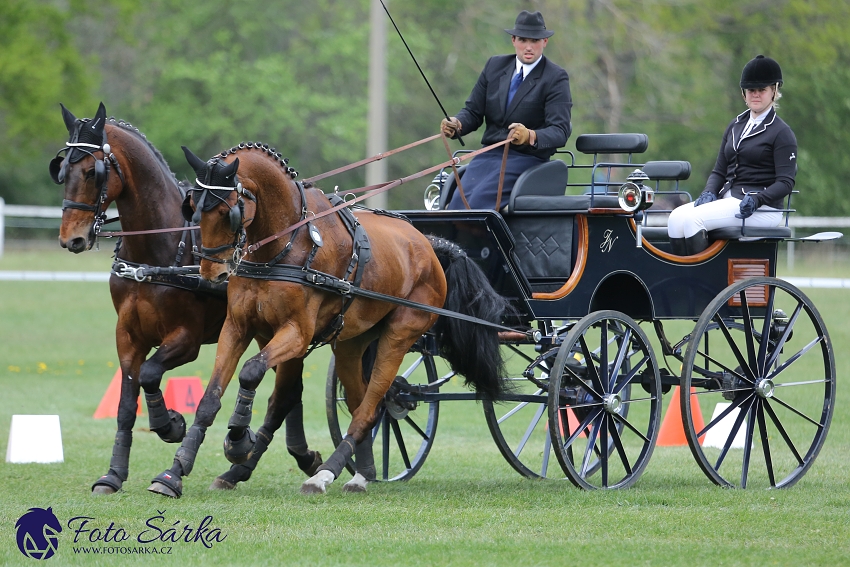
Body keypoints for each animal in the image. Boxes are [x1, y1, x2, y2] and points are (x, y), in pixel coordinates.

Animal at [51, 104, 322, 494]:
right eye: (63, 170)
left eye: (91, 171)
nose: (71, 238)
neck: (158, 252)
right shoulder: (127, 336)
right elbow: (126, 404)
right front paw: (113, 474)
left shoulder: (186, 339)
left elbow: (150, 373)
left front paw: (170, 425)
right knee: (290, 392)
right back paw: (301, 456)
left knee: (285, 393)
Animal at [146, 144, 506, 500]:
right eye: (192, 208)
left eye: (226, 211)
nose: (213, 273)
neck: (283, 247)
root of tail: (428, 244)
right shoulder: (237, 327)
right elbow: (211, 398)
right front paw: (175, 471)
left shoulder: (296, 334)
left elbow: (250, 372)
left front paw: (237, 440)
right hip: (351, 345)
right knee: (363, 405)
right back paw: (362, 474)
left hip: (399, 336)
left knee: (369, 408)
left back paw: (324, 475)